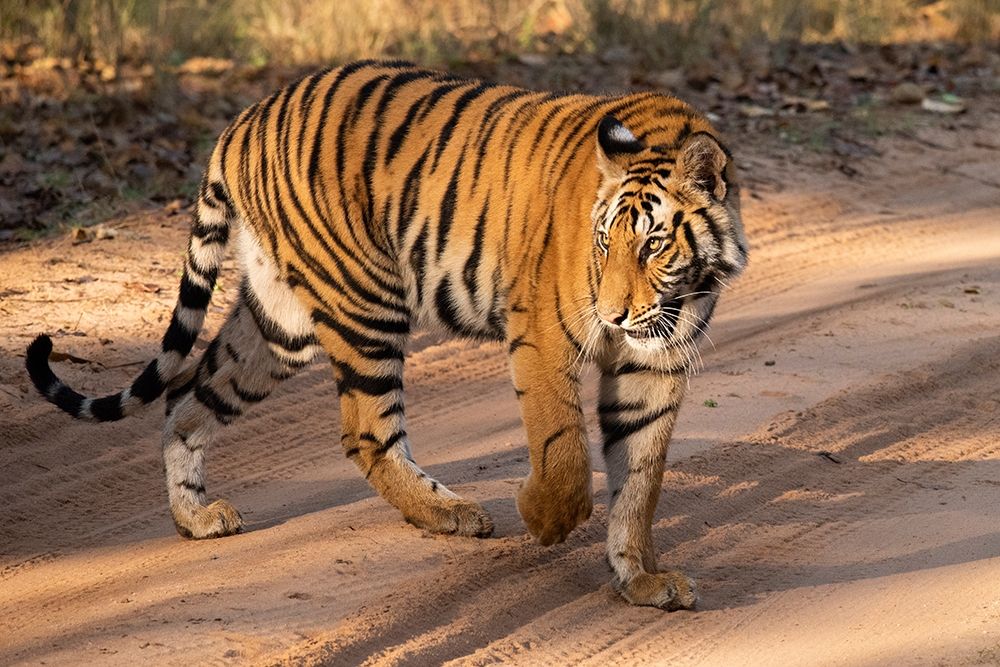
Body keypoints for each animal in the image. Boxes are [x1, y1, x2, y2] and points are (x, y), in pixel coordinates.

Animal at [23, 61, 748, 612]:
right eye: (604, 242)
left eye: (653, 245)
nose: (616, 315)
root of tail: (243, 120)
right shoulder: (544, 337)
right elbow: (565, 450)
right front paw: (543, 518)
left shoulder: (655, 365)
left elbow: (641, 479)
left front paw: (642, 578)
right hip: (367, 299)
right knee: (367, 430)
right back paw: (451, 513)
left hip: (278, 324)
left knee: (187, 400)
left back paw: (195, 519)